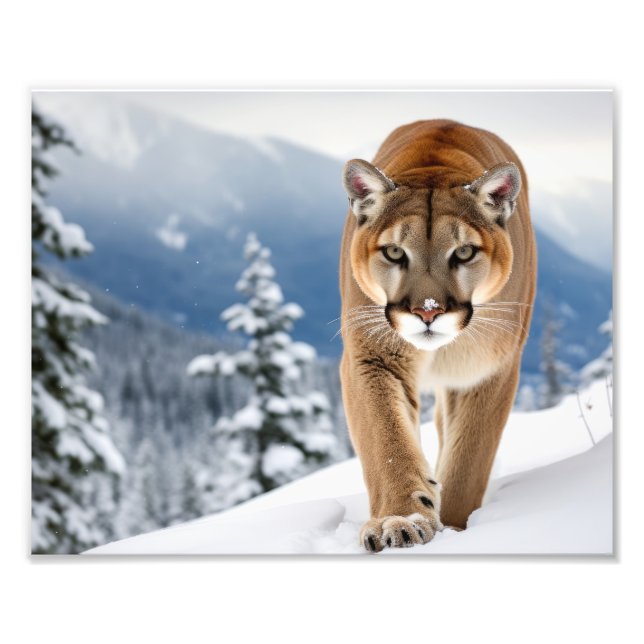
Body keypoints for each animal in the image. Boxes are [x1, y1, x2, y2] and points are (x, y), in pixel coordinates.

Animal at [339, 119, 537, 552]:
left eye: (463, 252)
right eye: (395, 252)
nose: (427, 311)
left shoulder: (488, 369)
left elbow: (468, 460)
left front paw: (457, 529)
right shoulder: (372, 356)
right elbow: (387, 442)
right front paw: (400, 519)